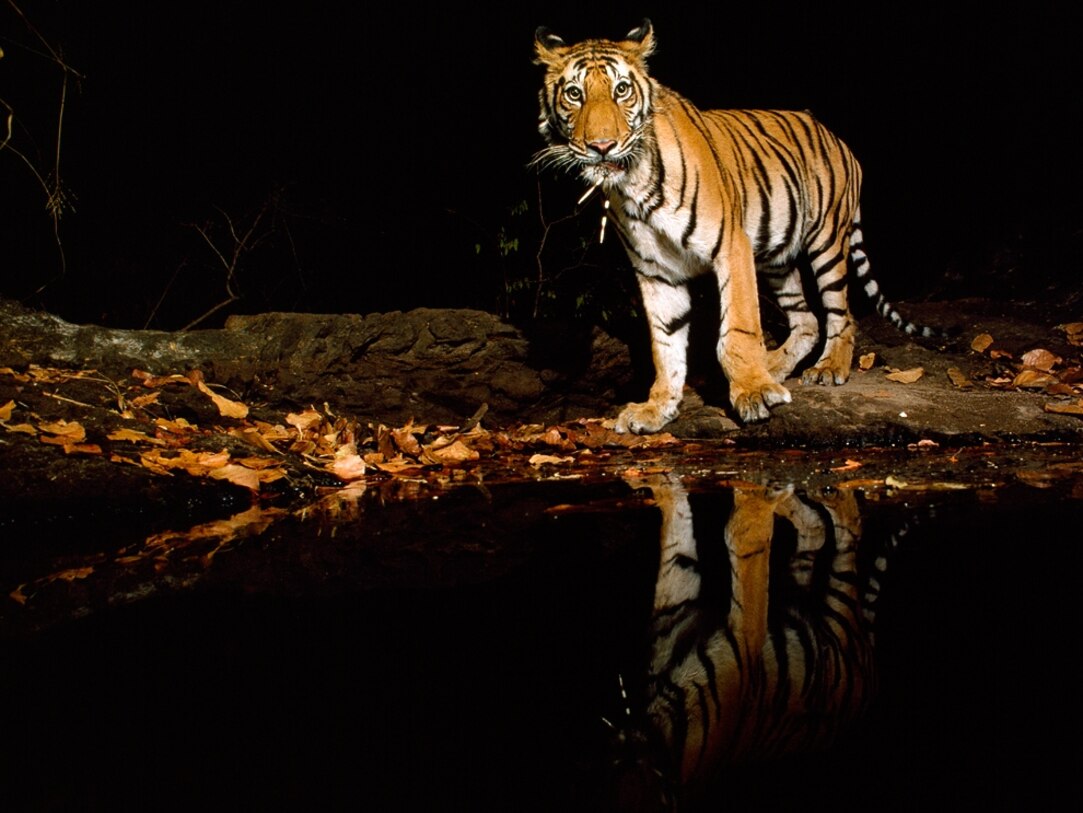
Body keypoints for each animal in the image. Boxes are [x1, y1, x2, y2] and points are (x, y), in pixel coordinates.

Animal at [533, 19, 934, 433]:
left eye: (621, 90)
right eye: (575, 94)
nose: (602, 146)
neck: (632, 184)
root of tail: (838, 138)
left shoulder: (730, 244)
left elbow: (737, 330)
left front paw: (753, 392)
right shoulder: (656, 270)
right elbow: (665, 344)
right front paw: (657, 408)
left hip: (826, 241)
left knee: (841, 313)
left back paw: (828, 367)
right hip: (777, 257)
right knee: (806, 320)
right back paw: (774, 365)